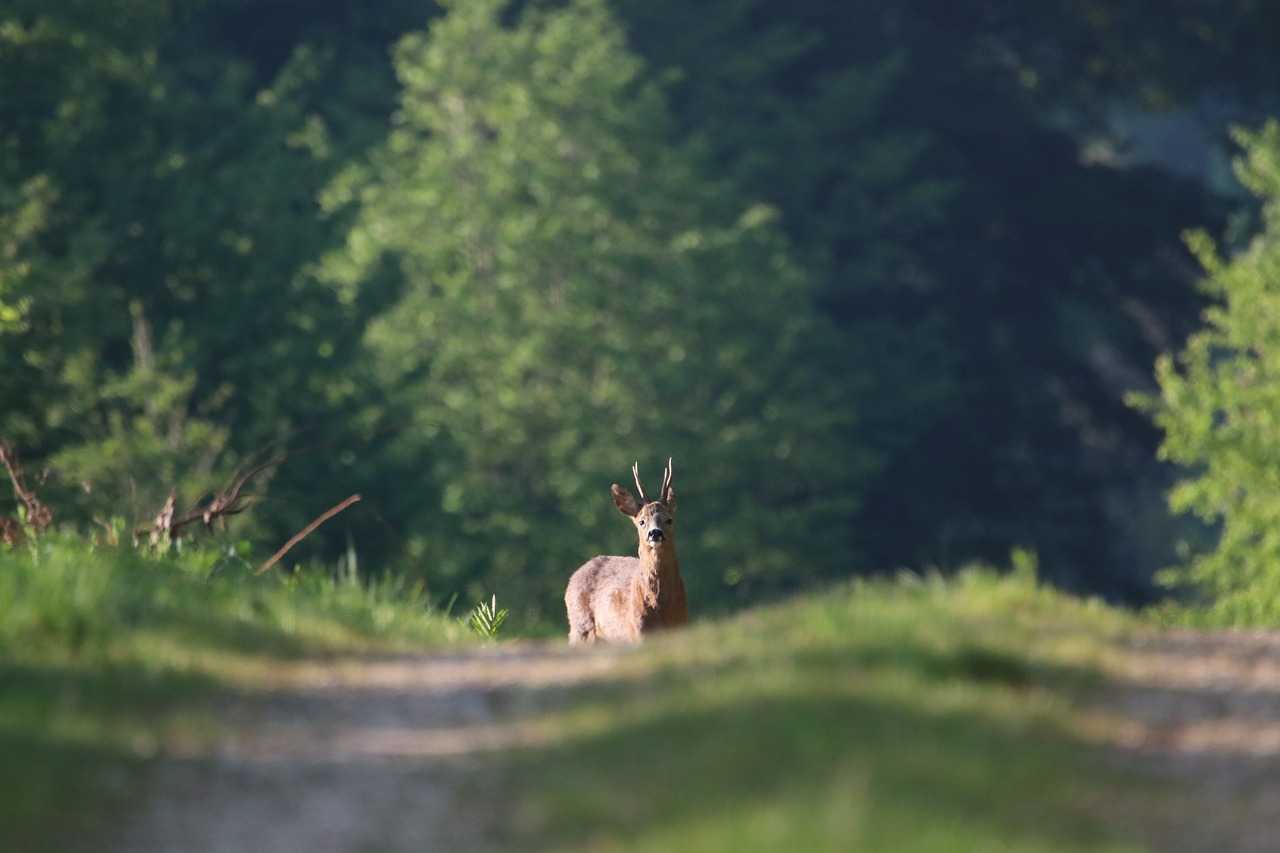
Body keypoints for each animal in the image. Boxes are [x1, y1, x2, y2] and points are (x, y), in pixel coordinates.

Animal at [568, 455, 691, 640]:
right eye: (641, 521)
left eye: (669, 519)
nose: (655, 533)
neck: (660, 607)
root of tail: (571, 579)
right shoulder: (638, 631)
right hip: (581, 628)